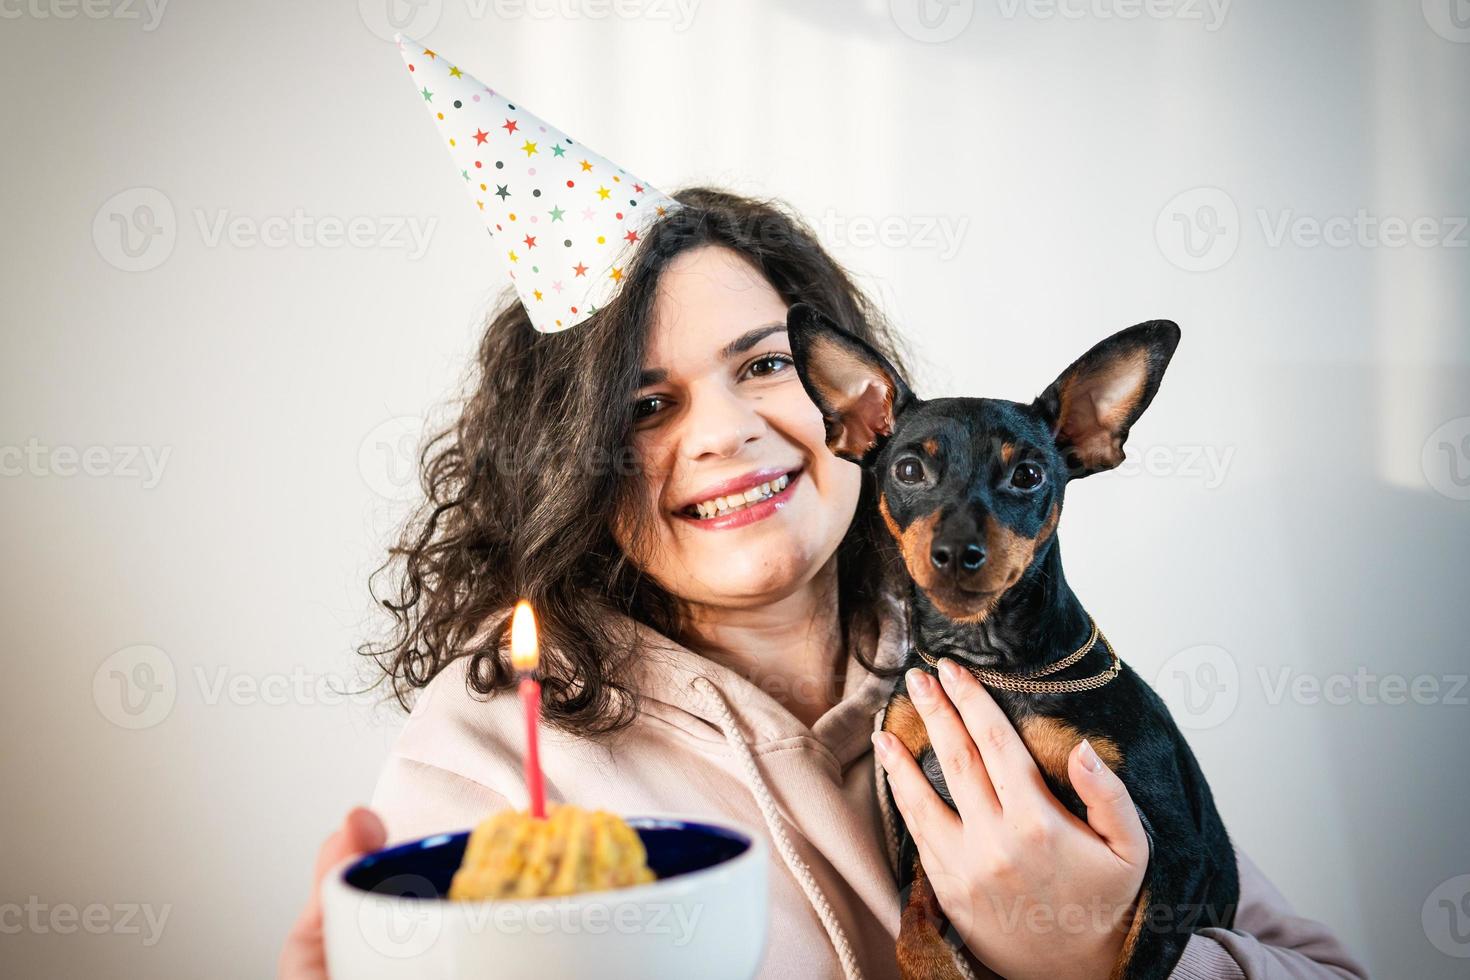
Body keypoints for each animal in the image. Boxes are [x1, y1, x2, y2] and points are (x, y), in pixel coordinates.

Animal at [787, 304, 1234, 980]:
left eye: (1028, 475)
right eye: (908, 470)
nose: (956, 552)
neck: (988, 663)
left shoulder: (1181, 856)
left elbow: (1135, 966)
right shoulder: (920, 847)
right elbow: (911, 932)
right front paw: (937, 968)